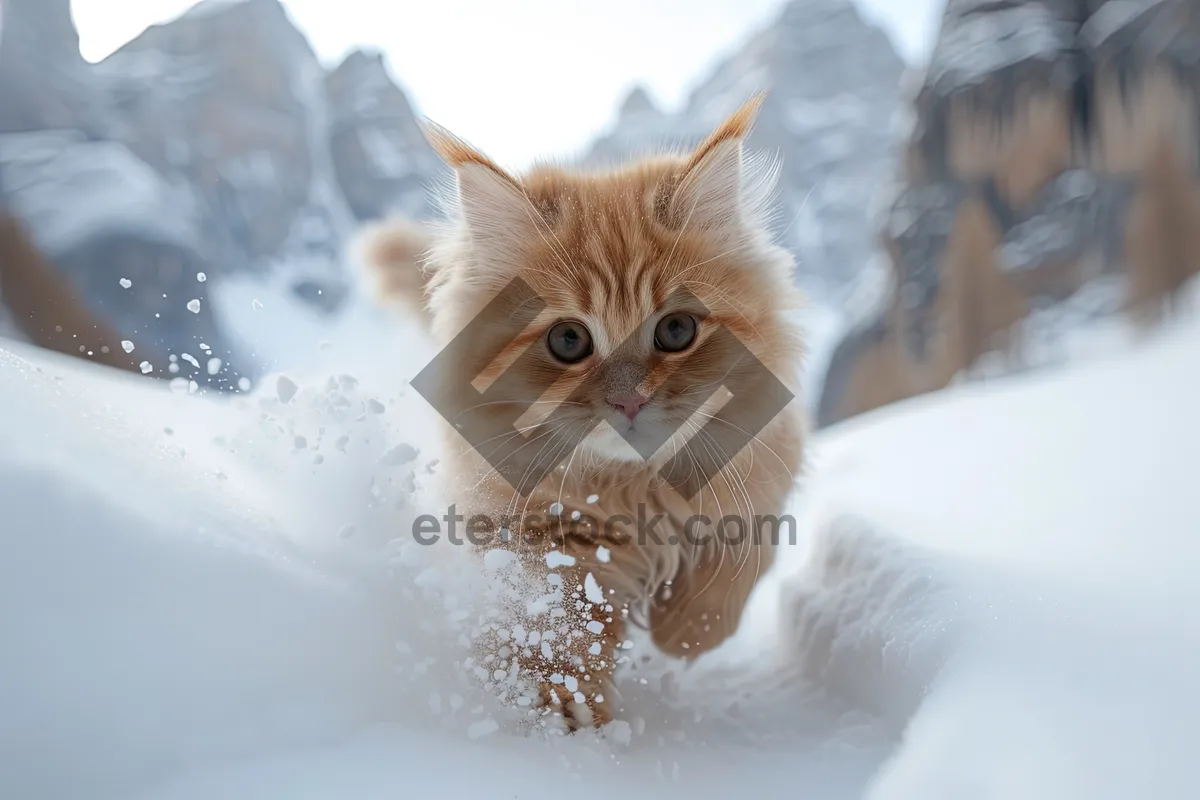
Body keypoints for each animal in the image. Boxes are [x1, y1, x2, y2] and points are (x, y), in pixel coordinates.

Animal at [355, 95, 806, 734]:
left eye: (676, 330)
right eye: (568, 341)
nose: (629, 400)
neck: (635, 491)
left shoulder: (763, 473)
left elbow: (734, 569)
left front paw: (682, 633)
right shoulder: (539, 538)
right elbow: (560, 628)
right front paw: (564, 713)